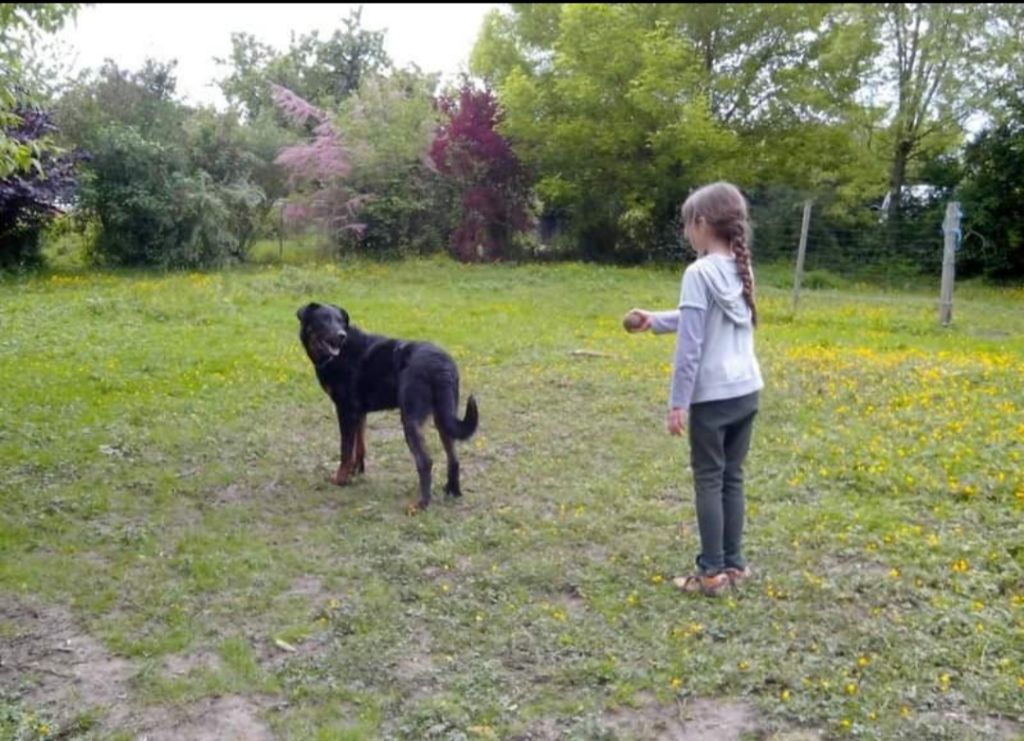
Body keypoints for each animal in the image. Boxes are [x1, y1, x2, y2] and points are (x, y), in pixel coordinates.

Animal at [292, 300, 475, 509]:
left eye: (340, 321)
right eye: (324, 320)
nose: (341, 335)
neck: (340, 353)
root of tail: (442, 364)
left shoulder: (346, 410)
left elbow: (345, 450)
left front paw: (341, 479)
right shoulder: (359, 413)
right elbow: (359, 445)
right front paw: (357, 471)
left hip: (410, 419)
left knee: (426, 461)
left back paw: (421, 504)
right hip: (443, 417)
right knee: (454, 457)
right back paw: (453, 491)